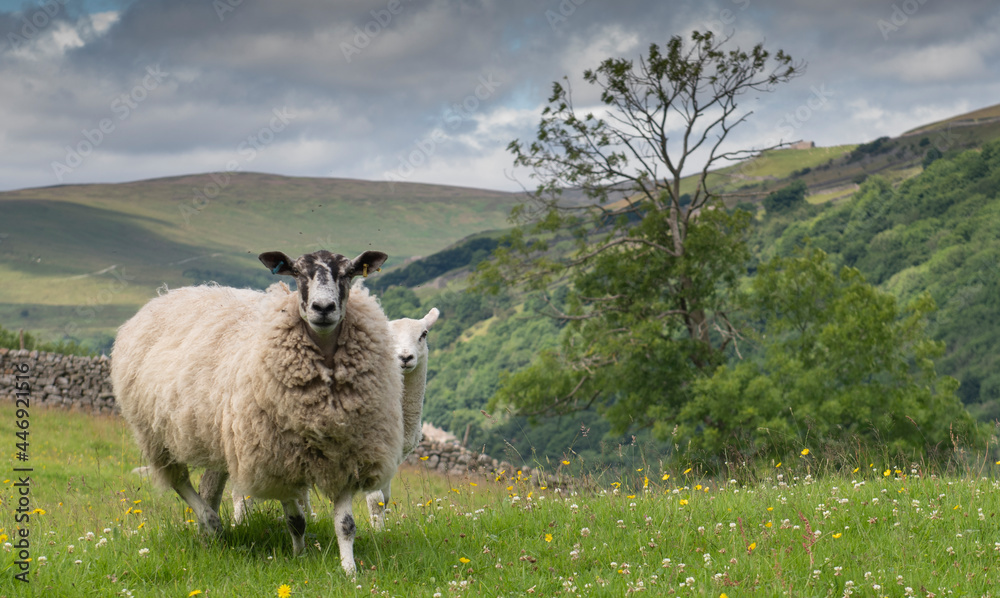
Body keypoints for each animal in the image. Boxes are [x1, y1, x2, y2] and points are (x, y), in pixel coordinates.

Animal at [110, 249, 403, 576]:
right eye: (297, 273)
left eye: (349, 273)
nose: (323, 308)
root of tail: (166, 295)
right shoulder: (275, 457)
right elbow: (296, 519)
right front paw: (300, 555)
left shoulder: (344, 455)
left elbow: (346, 524)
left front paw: (349, 570)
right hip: (155, 434)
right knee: (179, 481)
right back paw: (211, 522)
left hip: (220, 436)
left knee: (209, 484)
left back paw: (209, 531)